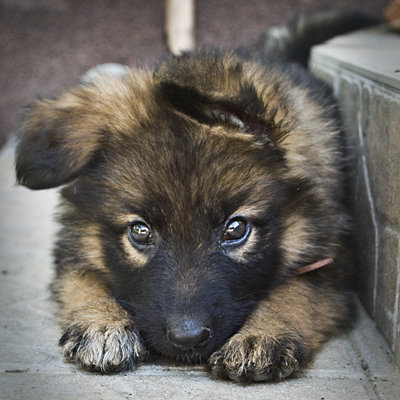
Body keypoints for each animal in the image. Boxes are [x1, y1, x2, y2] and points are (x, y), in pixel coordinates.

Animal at [14, 8, 378, 382]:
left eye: (236, 229)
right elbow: (82, 274)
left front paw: (264, 332)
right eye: (140, 231)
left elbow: (299, 289)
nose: (186, 339)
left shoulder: (334, 259)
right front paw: (101, 321)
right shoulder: (73, 243)